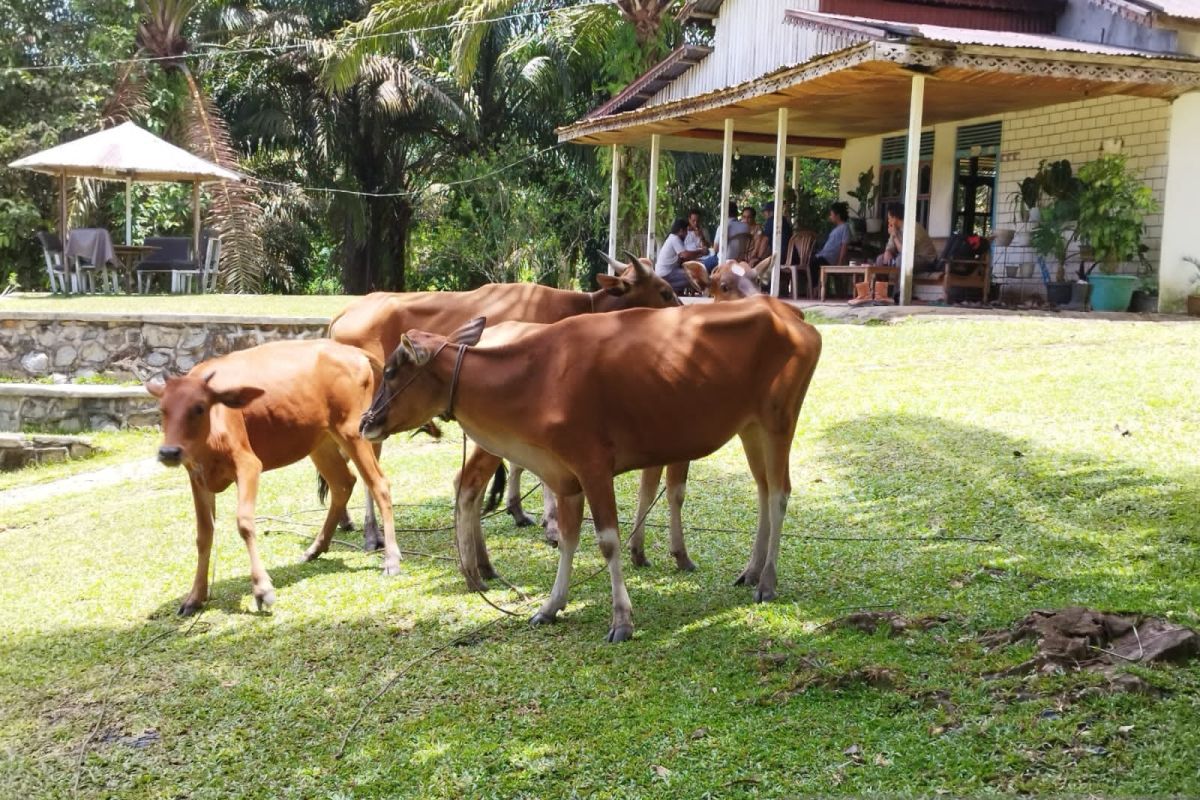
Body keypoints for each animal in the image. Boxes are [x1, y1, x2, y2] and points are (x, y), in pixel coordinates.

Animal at [146, 340, 398, 618]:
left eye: (199, 408)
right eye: (162, 409)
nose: (169, 452)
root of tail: (353, 351)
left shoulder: (248, 465)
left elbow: (244, 523)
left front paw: (262, 589)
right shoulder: (197, 477)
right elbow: (203, 535)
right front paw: (195, 597)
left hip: (352, 431)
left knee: (379, 484)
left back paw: (391, 559)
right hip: (320, 441)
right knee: (343, 483)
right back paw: (315, 549)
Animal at [328, 256, 681, 551]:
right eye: (664, 292)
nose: (679, 314)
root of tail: (344, 314)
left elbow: (518, 461)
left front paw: (518, 509)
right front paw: (551, 524)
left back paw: (346, 520)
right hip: (372, 413)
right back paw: (371, 533)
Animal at [360, 297, 820, 642]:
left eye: (391, 371)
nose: (366, 422)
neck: (538, 378)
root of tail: (791, 315)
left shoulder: (594, 467)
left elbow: (608, 542)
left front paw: (622, 619)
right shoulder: (565, 477)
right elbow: (567, 540)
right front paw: (550, 606)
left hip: (780, 421)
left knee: (780, 494)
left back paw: (767, 581)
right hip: (750, 427)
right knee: (763, 491)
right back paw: (752, 570)